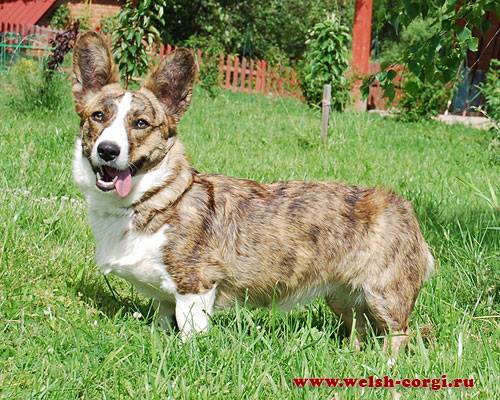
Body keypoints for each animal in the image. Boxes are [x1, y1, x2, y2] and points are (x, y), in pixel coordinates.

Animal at [71, 32, 434, 356]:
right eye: (98, 116)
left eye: (141, 123)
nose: (107, 150)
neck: (153, 199)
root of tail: (405, 208)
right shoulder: (164, 298)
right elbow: (162, 321)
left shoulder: (195, 287)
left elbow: (189, 333)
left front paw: (186, 354)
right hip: (342, 295)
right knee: (359, 328)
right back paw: (351, 358)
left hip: (384, 294)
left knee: (398, 334)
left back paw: (386, 366)